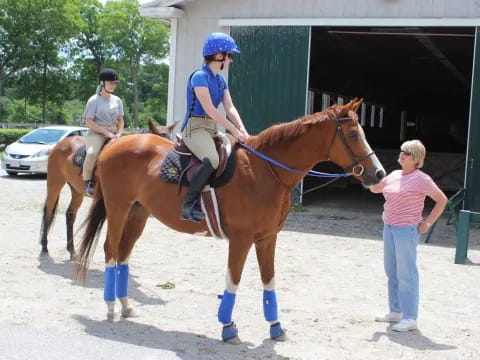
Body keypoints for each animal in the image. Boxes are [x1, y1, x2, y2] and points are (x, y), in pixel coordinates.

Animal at [39, 120, 174, 258]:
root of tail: (60, 144)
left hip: (77, 191)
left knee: (70, 214)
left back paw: (72, 251)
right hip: (55, 184)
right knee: (48, 212)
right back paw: (44, 247)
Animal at [76, 98, 386, 344]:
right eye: (353, 134)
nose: (380, 174)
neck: (267, 170)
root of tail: (116, 143)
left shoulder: (267, 238)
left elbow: (269, 281)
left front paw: (276, 327)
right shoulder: (241, 239)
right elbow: (233, 281)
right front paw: (228, 327)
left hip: (138, 213)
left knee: (124, 253)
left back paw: (126, 305)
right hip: (118, 209)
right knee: (110, 250)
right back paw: (110, 306)